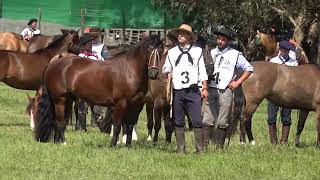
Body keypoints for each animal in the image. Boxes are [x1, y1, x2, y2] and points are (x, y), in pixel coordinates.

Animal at [34, 35, 164, 147]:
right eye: (149, 48)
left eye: (161, 50)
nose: (153, 73)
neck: (129, 70)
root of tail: (55, 61)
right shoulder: (120, 104)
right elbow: (117, 126)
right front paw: (113, 145)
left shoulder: (135, 105)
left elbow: (130, 127)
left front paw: (128, 145)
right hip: (59, 100)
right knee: (60, 122)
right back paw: (64, 143)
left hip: (67, 100)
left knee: (59, 122)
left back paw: (57, 142)